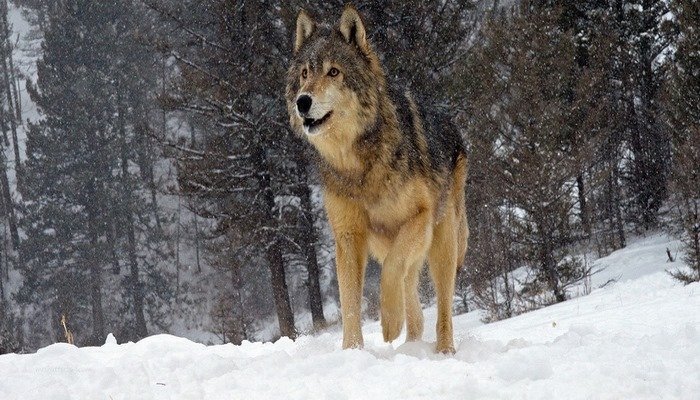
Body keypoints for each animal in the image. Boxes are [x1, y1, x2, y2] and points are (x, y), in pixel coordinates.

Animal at [284, 3, 470, 354]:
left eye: (333, 72)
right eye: (305, 74)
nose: (303, 101)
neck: (358, 166)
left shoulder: (419, 217)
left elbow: (392, 269)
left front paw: (390, 323)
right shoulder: (348, 237)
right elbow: (350, 303)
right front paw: (352, 351)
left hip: (442, 242)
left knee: (441, 304)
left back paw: (443, 349)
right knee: (413, 297)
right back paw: (411, 343)